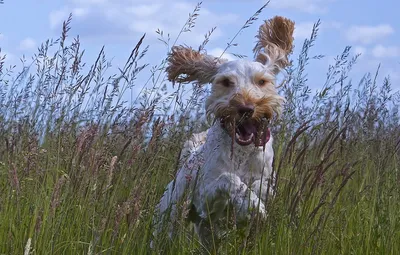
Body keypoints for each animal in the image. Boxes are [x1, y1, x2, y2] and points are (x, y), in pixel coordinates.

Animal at [152, 15, 296, 251]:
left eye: (262, 81)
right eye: (227, 82)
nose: (246, 108)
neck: (242, 153)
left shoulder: (265, 178)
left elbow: (262, 187)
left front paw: (255, 201)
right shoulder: (204, 196)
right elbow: (230, 179)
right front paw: (254, 205)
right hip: (168, 223)